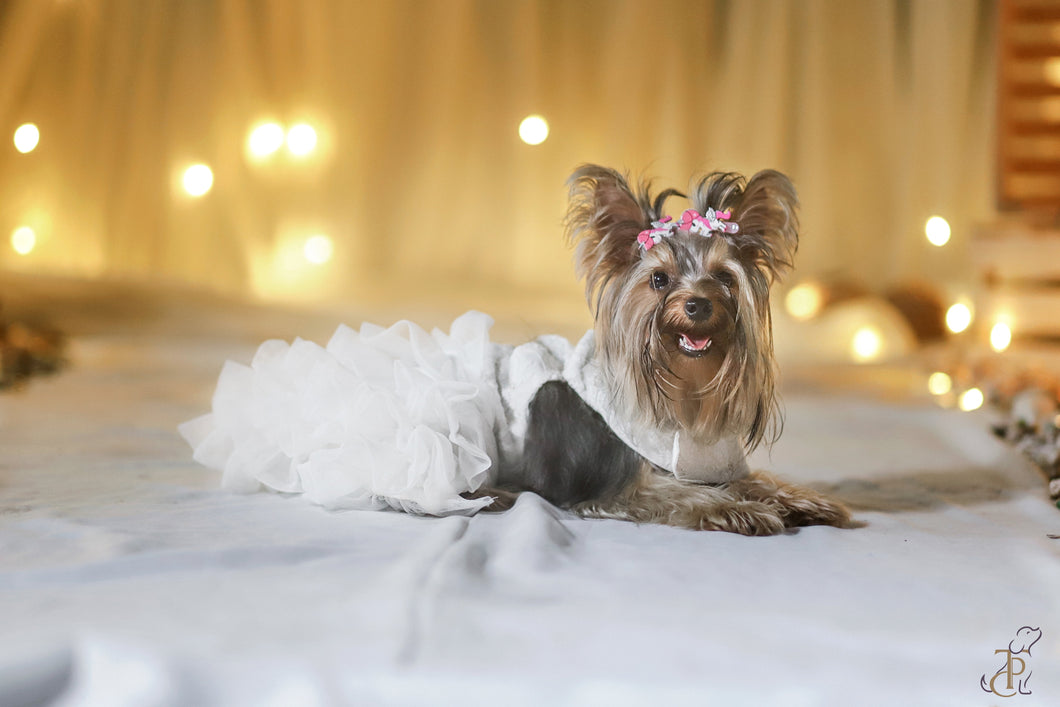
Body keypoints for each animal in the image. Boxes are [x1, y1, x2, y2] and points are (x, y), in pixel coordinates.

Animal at [476, 166, 856, 536]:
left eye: (725, 277)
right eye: (659, 279)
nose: (698, 304)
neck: (686, 385)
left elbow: (744, 480)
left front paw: (803, 500)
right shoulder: (616, 489)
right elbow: (678, 492)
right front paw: (737, 510)